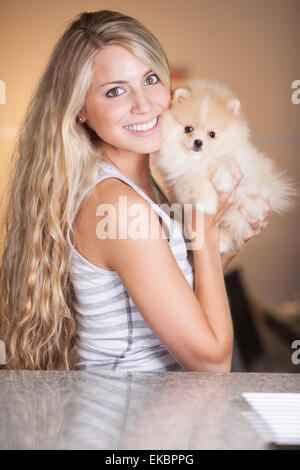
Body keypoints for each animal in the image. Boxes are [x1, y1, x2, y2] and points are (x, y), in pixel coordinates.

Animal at [152, 79, 298, 253]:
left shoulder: (234, 159)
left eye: (212, 134)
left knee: (234, 228)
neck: (198, 160)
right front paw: (207, 203)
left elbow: (221, 161)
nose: (198, 142)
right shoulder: (182, 175)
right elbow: (196, 183)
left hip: (244, 210)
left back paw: (223, 240)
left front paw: (224, 182)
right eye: (188, 129)